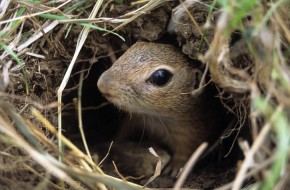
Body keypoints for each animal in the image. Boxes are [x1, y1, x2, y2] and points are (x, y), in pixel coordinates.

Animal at [96, 41, 225, 177]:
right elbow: (122, 132)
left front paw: (176, 166)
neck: (157, 119)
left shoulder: (192, 134)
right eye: (133, 47)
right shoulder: (135, 120)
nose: (102, 84)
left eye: (161, 77)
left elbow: (187, 151)